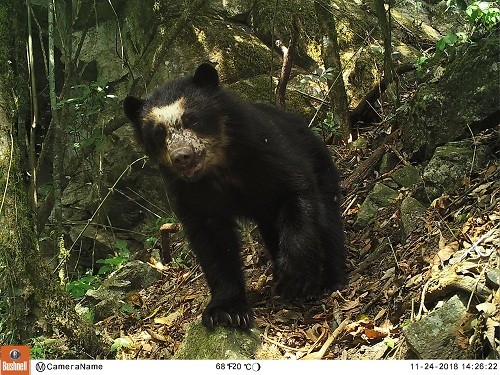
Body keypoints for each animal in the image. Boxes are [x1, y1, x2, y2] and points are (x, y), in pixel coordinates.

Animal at [123, 63, 346, 330]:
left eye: (192, 118)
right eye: (158, 133)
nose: (182, 157)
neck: (218, 168)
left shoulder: (264, 151)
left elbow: (296, 188)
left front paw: (297, 276)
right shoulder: (190, 193)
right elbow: (213, 242)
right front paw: (226, 311)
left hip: (320, 162)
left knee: (327, 217)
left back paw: (330, 278)